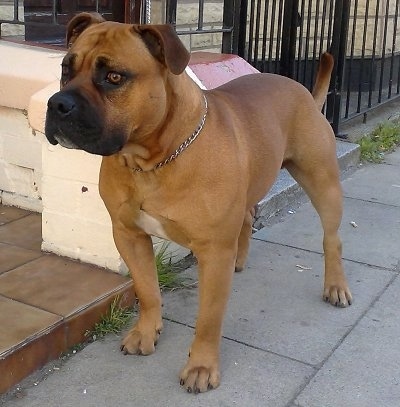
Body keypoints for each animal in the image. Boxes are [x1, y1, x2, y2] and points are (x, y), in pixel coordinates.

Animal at [45, 12, 352, 396]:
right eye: (65, 68)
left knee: (332, 238)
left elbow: (208, 317)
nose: (57, 104)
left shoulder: (213, 250)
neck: (152, 159)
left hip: (322, 182)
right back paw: (241, 258)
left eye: (114, 77)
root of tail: (304, 91)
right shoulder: (128, 235)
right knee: (248, 216)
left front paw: (202, 366)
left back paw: (336, 286)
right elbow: (147, 290)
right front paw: (146, 333)